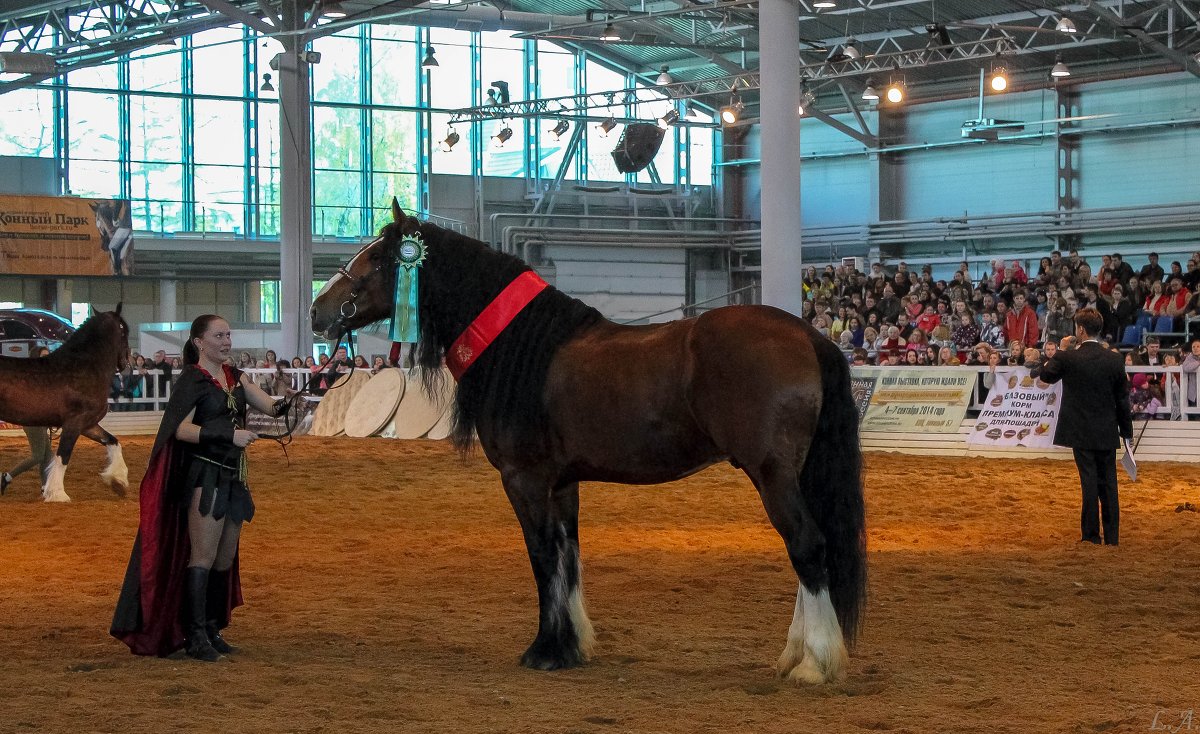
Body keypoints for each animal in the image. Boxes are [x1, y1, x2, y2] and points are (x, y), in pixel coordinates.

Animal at [0, 307, 131, 501]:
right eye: (125, 331)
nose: (125, 363)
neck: (83, 367)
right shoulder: (73, 423)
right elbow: (63, 456)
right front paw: (57, 493)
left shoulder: (88, 424)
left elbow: (113, 441)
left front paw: (118, 482)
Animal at [309, 203, 868, 686]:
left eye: (378, 257)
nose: (318, 311)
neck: (524, 349)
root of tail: (808, 336)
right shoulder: (562, 484)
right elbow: (568, 557)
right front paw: (571, 646)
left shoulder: (525, 480)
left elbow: (542, 557)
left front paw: (544, 651)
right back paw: (793, 655)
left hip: (772, 472)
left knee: (807, 546)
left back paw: (814, 663)